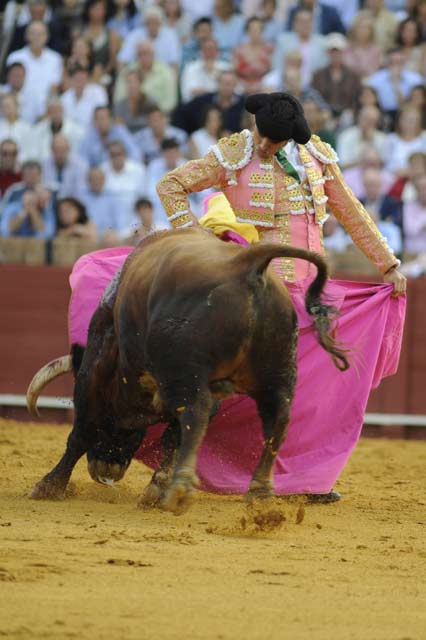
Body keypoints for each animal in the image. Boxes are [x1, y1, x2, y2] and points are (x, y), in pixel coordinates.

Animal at [26, 229, 348, 516]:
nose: (107, 470)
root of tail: (245, 263)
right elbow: (174, 437)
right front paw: (155, 489)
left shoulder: (95, 366)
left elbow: (81, 431)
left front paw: (49, 486)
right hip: (277, 372)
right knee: (276, 421)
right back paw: (260, 497)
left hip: (186, 372)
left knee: (196, 412)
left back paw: (180, 491)